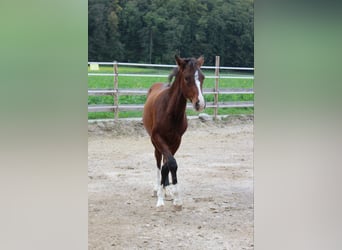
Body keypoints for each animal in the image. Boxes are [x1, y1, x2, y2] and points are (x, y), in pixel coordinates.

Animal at [142, 55, 204, 209]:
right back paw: (157, 188)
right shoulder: (158, 138)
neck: (170, 112)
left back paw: (166, 189)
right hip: (156, 143)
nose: (200, 103)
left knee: (164, 163)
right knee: (158, 162)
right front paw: (162, 198)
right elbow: (169, 164)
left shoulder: (177, 140)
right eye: (187, 78)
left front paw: (173, 195)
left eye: (203, 77)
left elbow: (169, 165)